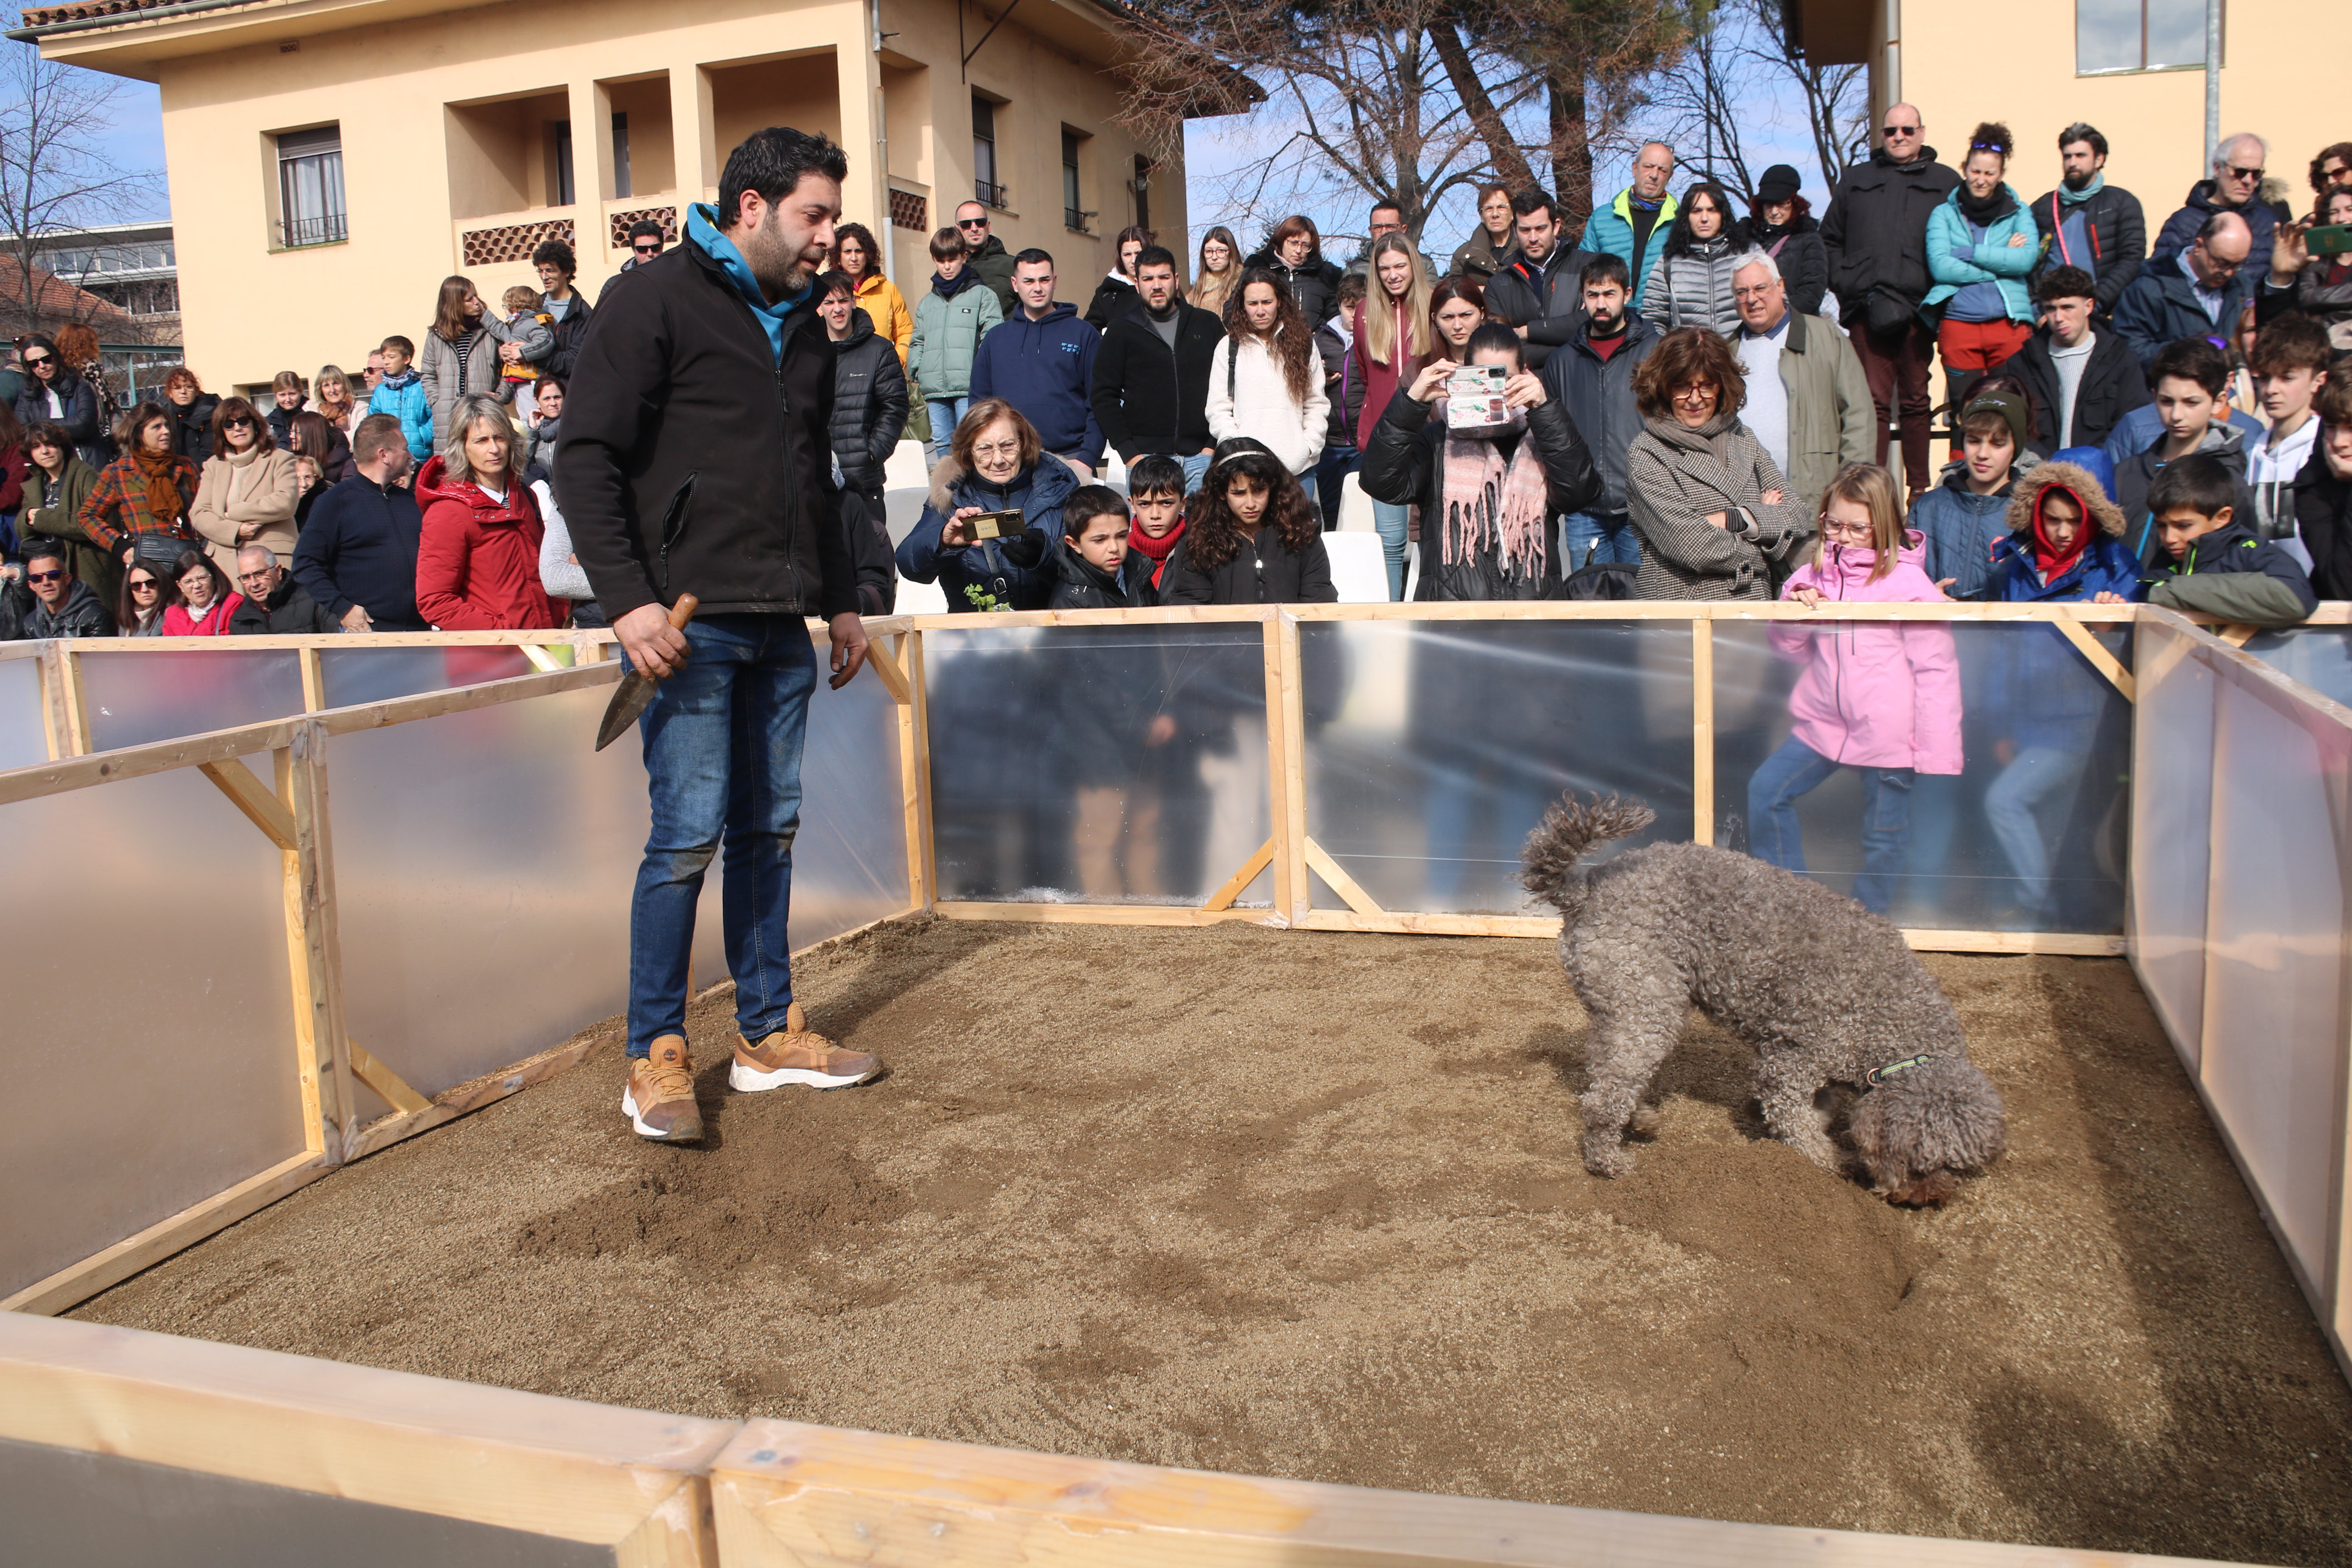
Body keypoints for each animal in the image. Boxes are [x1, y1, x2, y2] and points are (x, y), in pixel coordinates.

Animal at [1524, 790, 2003, 1213]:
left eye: (1958, 1169)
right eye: (1924, 1164)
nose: (1929, 1200)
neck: (1886, 1021)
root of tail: (1585, 887)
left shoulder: (1819, 1071)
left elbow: (1813, 1113)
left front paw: (1758, 1117)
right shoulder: (1792, 1062)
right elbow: (1800, 1124)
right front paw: (1832, 1163)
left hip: (1623, 1004)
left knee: (1603, 1074)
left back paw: (1639, 1118)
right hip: (1647, 1004)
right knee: (1603, 1098)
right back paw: (1609, 1161)